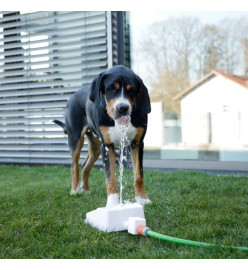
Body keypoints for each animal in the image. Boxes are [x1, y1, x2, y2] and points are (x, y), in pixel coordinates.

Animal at [54, 65, 151, 207]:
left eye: (131, 89)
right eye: (111, 88)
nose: (123, 108)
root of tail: (72, 96)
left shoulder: (137, 143)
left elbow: (139, 175)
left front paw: (142, 199)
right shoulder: (107, 146)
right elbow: (110, 178)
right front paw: (113, 203)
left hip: (96, 146)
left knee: (85, 166)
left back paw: (86, 190)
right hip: (75, 139)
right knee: (74, 166)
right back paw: (75, 190)